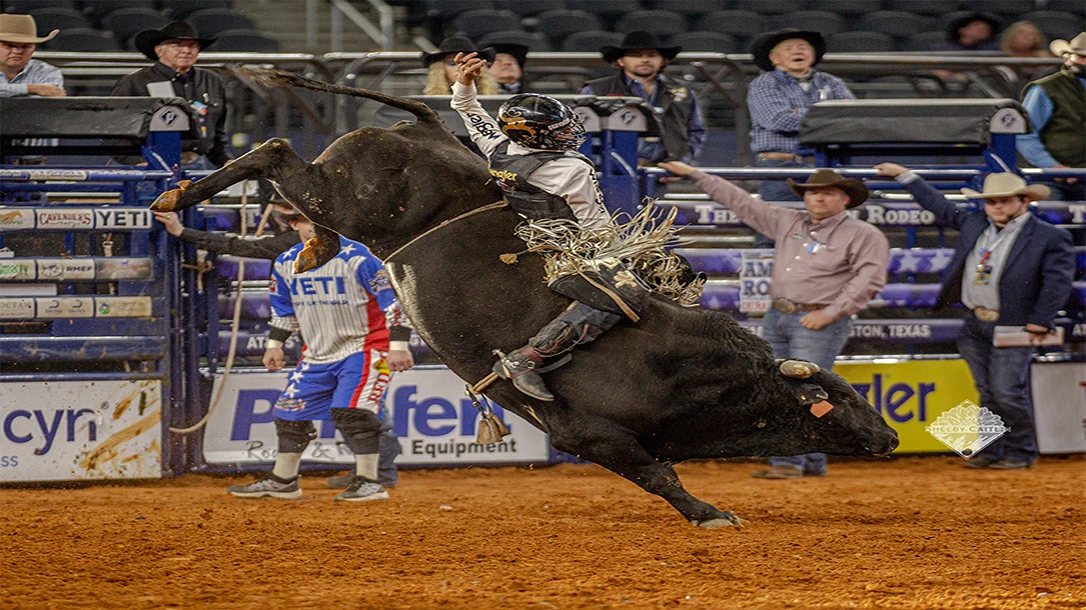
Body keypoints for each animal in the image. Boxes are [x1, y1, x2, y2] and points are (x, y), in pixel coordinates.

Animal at [155, 68, 899, 527]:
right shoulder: (589, 434)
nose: (891, 435)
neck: (696, 375)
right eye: (844, 397)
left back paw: (306, 248)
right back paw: (179, 196)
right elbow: (657, 477)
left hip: (345, 202)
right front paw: (713, 514)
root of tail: (421, 129)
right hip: (343, 194)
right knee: (277, 151)